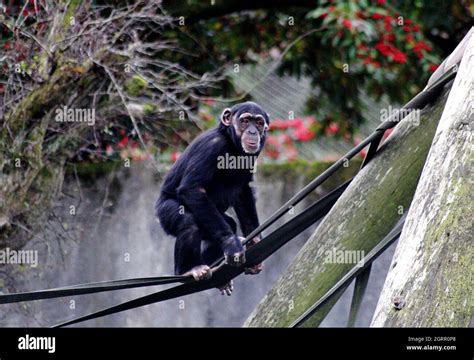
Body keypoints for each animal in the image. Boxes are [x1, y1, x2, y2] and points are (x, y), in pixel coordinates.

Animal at [155, 101, 268, 296]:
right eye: (245, 121)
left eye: (259, 123)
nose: (253, 131)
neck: (231, 144)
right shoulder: (211, 147)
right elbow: (193, 189)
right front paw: (232, 245)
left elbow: (242, 192)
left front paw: (254, 242)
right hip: (165, 211)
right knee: (188, 222)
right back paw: (189, 269)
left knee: (228, 224)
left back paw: (217, 274)